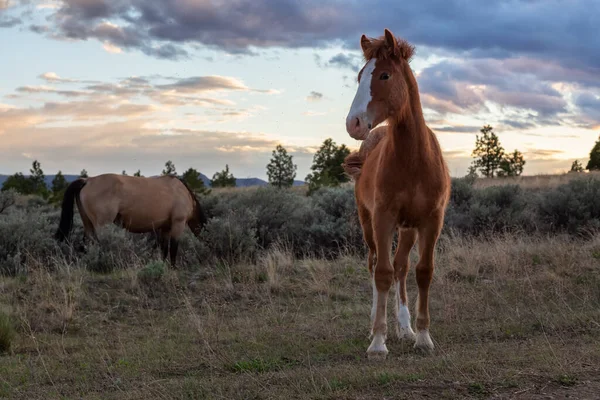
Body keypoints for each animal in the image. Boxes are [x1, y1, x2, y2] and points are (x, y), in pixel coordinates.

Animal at [54, 173, 209, 268]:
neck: (184, 193)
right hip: (101, 224)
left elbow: (164, 249)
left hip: (88, 224)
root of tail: (87, 180)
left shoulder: (165, 227)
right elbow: (173, 248)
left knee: (86, 244)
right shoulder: (178, 224)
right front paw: (173, 268)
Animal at [342, 28, 450, 360]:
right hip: (369, 225)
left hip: (408, 229)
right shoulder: (383, 218)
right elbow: (382, 273)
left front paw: (423, 336)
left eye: (385, 75)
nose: (354, 123)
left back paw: (405, 327)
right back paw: (376, 325)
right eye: (360, 75)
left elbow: (423, 271)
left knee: (401, 268)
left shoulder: (430, 221)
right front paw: (378, 341)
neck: (413, 160)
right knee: (376, 264)